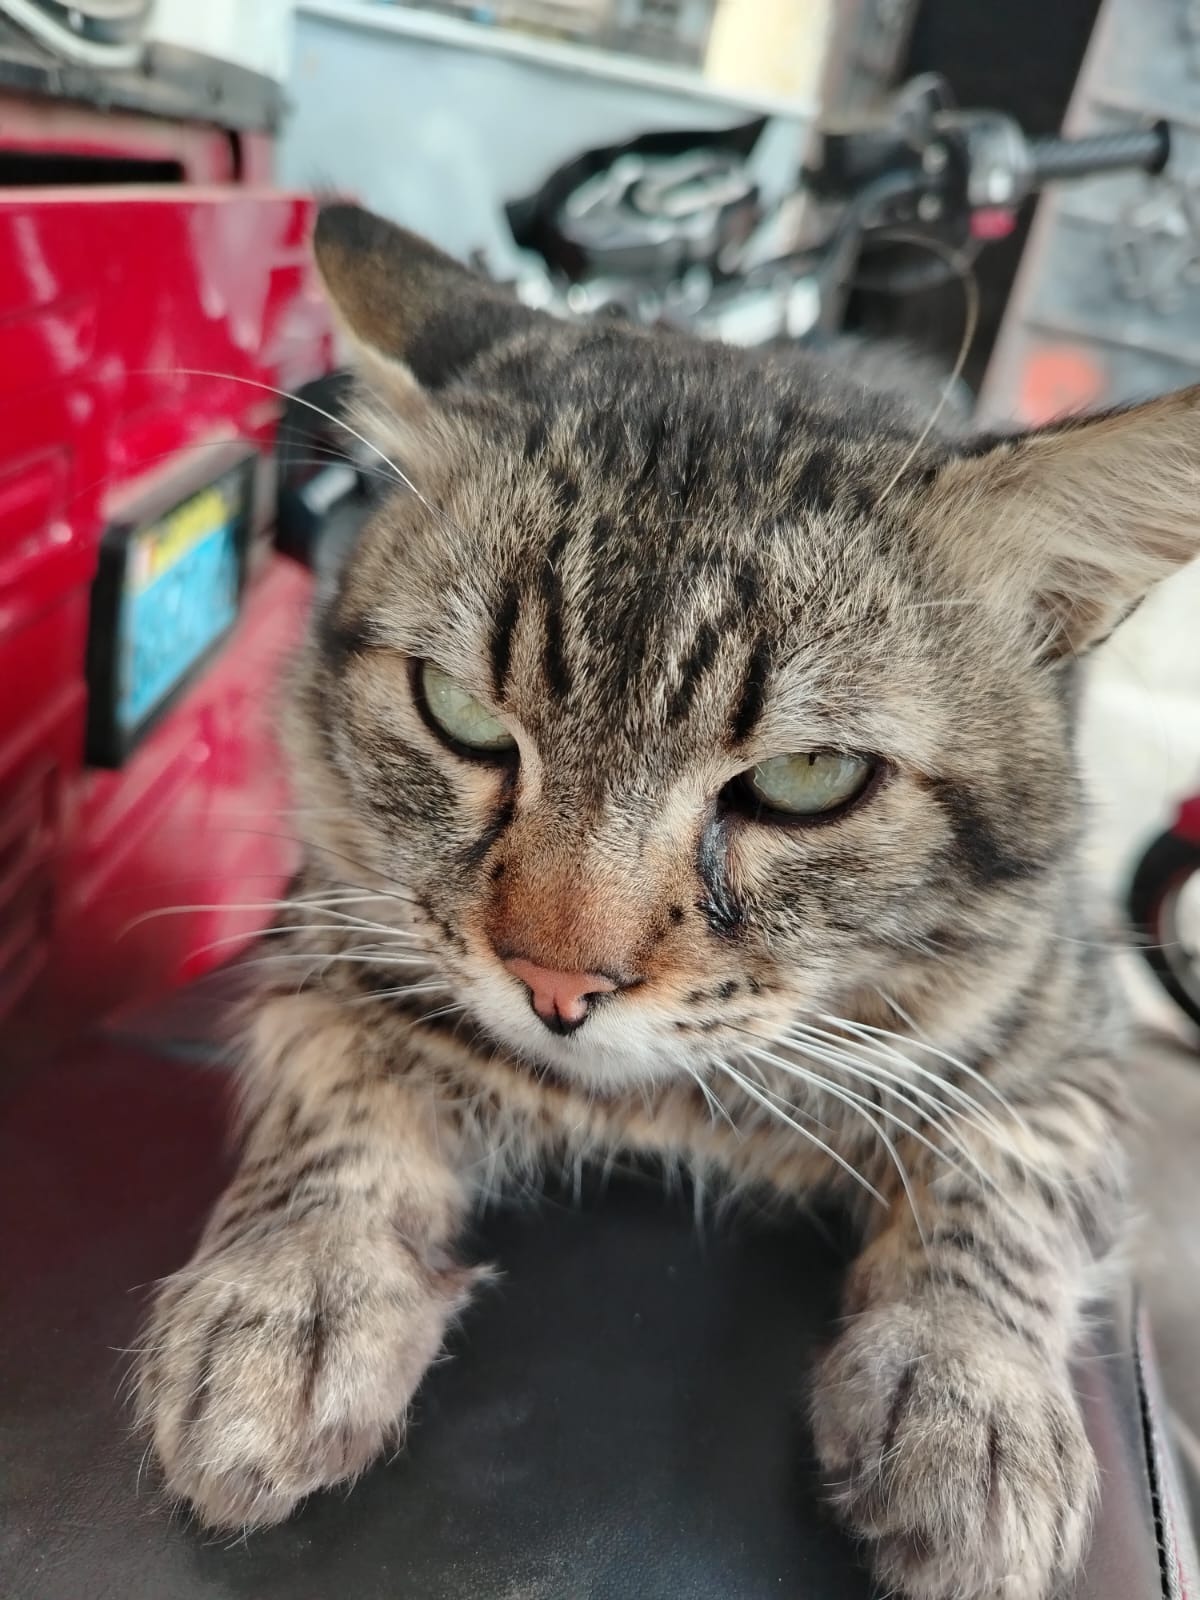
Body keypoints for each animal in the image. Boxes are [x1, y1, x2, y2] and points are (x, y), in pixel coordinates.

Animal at [135, 201, 1198, 1600]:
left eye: (811, 779)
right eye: (461, 713)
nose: (554, 983)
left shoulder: (1070, 1037)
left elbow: (1004, 1170)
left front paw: (972, 1397)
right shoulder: (328, 937)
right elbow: (336, 1097)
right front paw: (290, 1295)